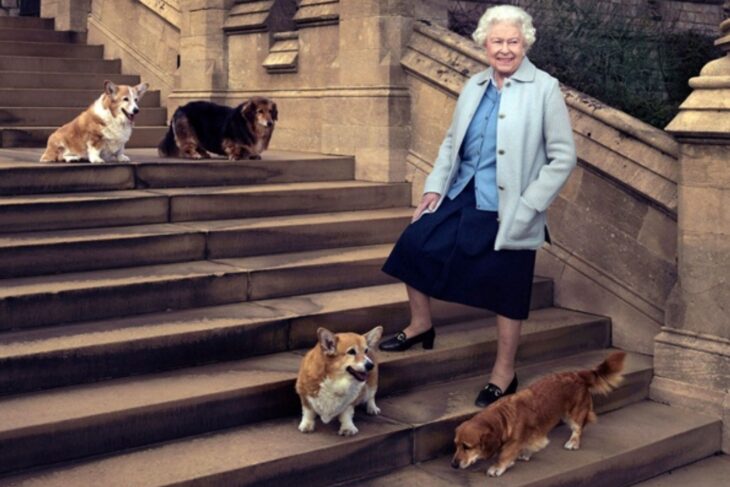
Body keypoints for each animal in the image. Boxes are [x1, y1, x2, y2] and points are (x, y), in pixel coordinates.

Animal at [452, 352, 624, 478]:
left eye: (467, 447)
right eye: (456, 445)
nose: (453, 465)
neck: (503, 417)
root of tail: (578, 374)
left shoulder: (515, 440)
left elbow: (505, 453)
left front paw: (497, 467)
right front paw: (522, 455)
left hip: (573, 414)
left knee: (579, 428)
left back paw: (573, 442)